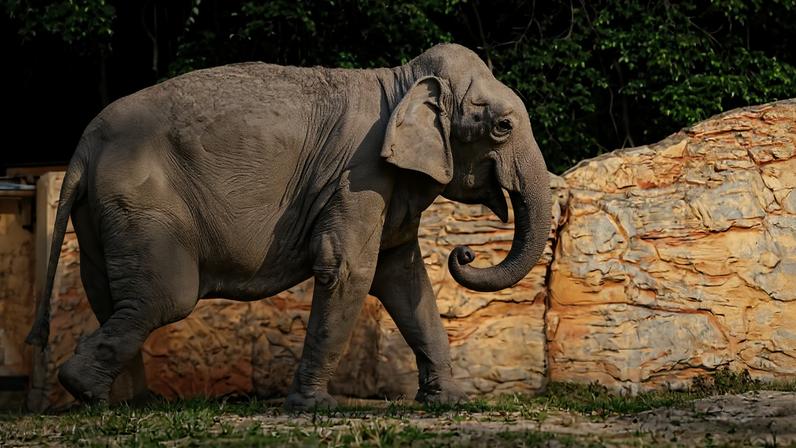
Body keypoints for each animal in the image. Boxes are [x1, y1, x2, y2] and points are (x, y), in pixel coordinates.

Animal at [26, 43, 551, 410]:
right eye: (502, 126)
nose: (464, 253)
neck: (400, 80)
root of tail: (84, 146)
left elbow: (404, 278)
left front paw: (450, 403)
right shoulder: (359, 175)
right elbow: (350, 270)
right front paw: (317, 408)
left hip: (102, 212)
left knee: (111, 296)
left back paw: (127, 402)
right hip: (141, 204)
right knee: (164, 297)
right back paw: (86, 391)